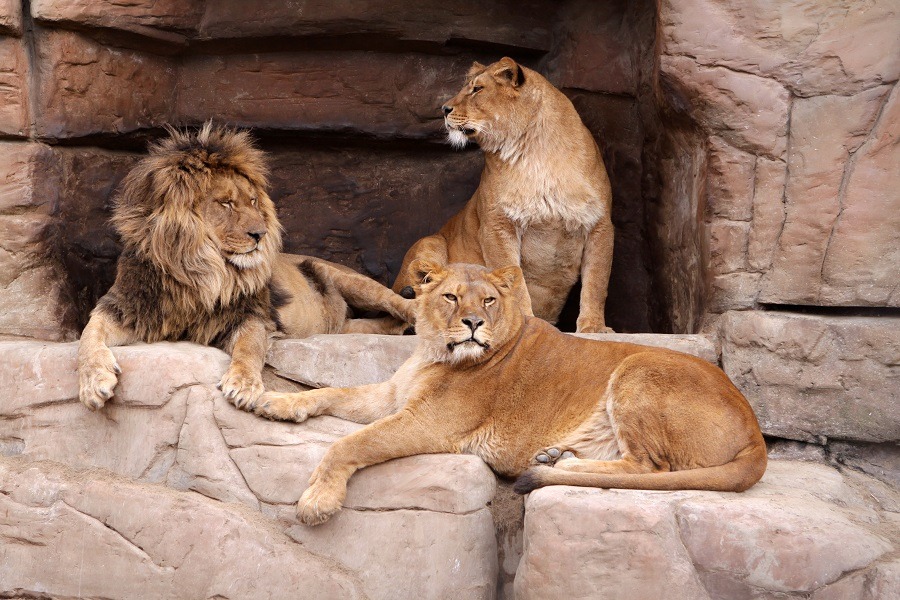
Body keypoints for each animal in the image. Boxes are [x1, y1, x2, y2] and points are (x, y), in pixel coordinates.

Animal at [77, 124, 414, 410]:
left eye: (253, 201)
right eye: (226, 203)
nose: (260, 234)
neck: (198, 272)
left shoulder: (251, 315)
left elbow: (250, 348)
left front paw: (243, 384)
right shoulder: (125, 306)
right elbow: (87, 337)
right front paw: (93, 382)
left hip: (350, 280)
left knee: (399, 303)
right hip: (341, 326)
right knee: (373, 326)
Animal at [244, 262, 768, 524]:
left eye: (489, 300)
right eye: (452, 296)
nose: (474, 323)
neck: (432, 351)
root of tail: (756, 433)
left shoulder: (427, 424)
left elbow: (349, 443)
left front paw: (318, 500)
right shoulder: (392, 397)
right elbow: (331, 390)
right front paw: (274, 402)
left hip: (639, 367)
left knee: (650, 467)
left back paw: (562, 464)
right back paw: (558, 457)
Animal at [392, 56, 612, 332]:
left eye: (477, 89)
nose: (444, 109)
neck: (537, 153)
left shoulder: (599, 224)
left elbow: (596, 282)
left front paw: (594, 326)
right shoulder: (497, 225)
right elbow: (514, 283)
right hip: (428, 242)